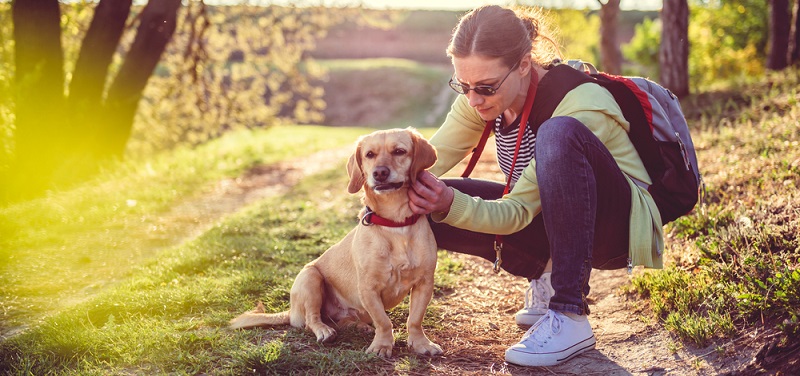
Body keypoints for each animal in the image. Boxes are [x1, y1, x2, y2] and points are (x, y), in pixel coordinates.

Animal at [230, 128, 444, 356]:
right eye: (370, 154)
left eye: (399, 151)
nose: (379, 173)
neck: (395, 224)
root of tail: (291, 311)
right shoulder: (368, 288)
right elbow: (384, 322)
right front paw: (382, 345)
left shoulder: (424, 283)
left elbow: (415, 319)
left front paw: (420, 344)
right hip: (311, 277)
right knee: (312, 320)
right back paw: (324, 331)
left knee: (342, 321)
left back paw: (358, 326)